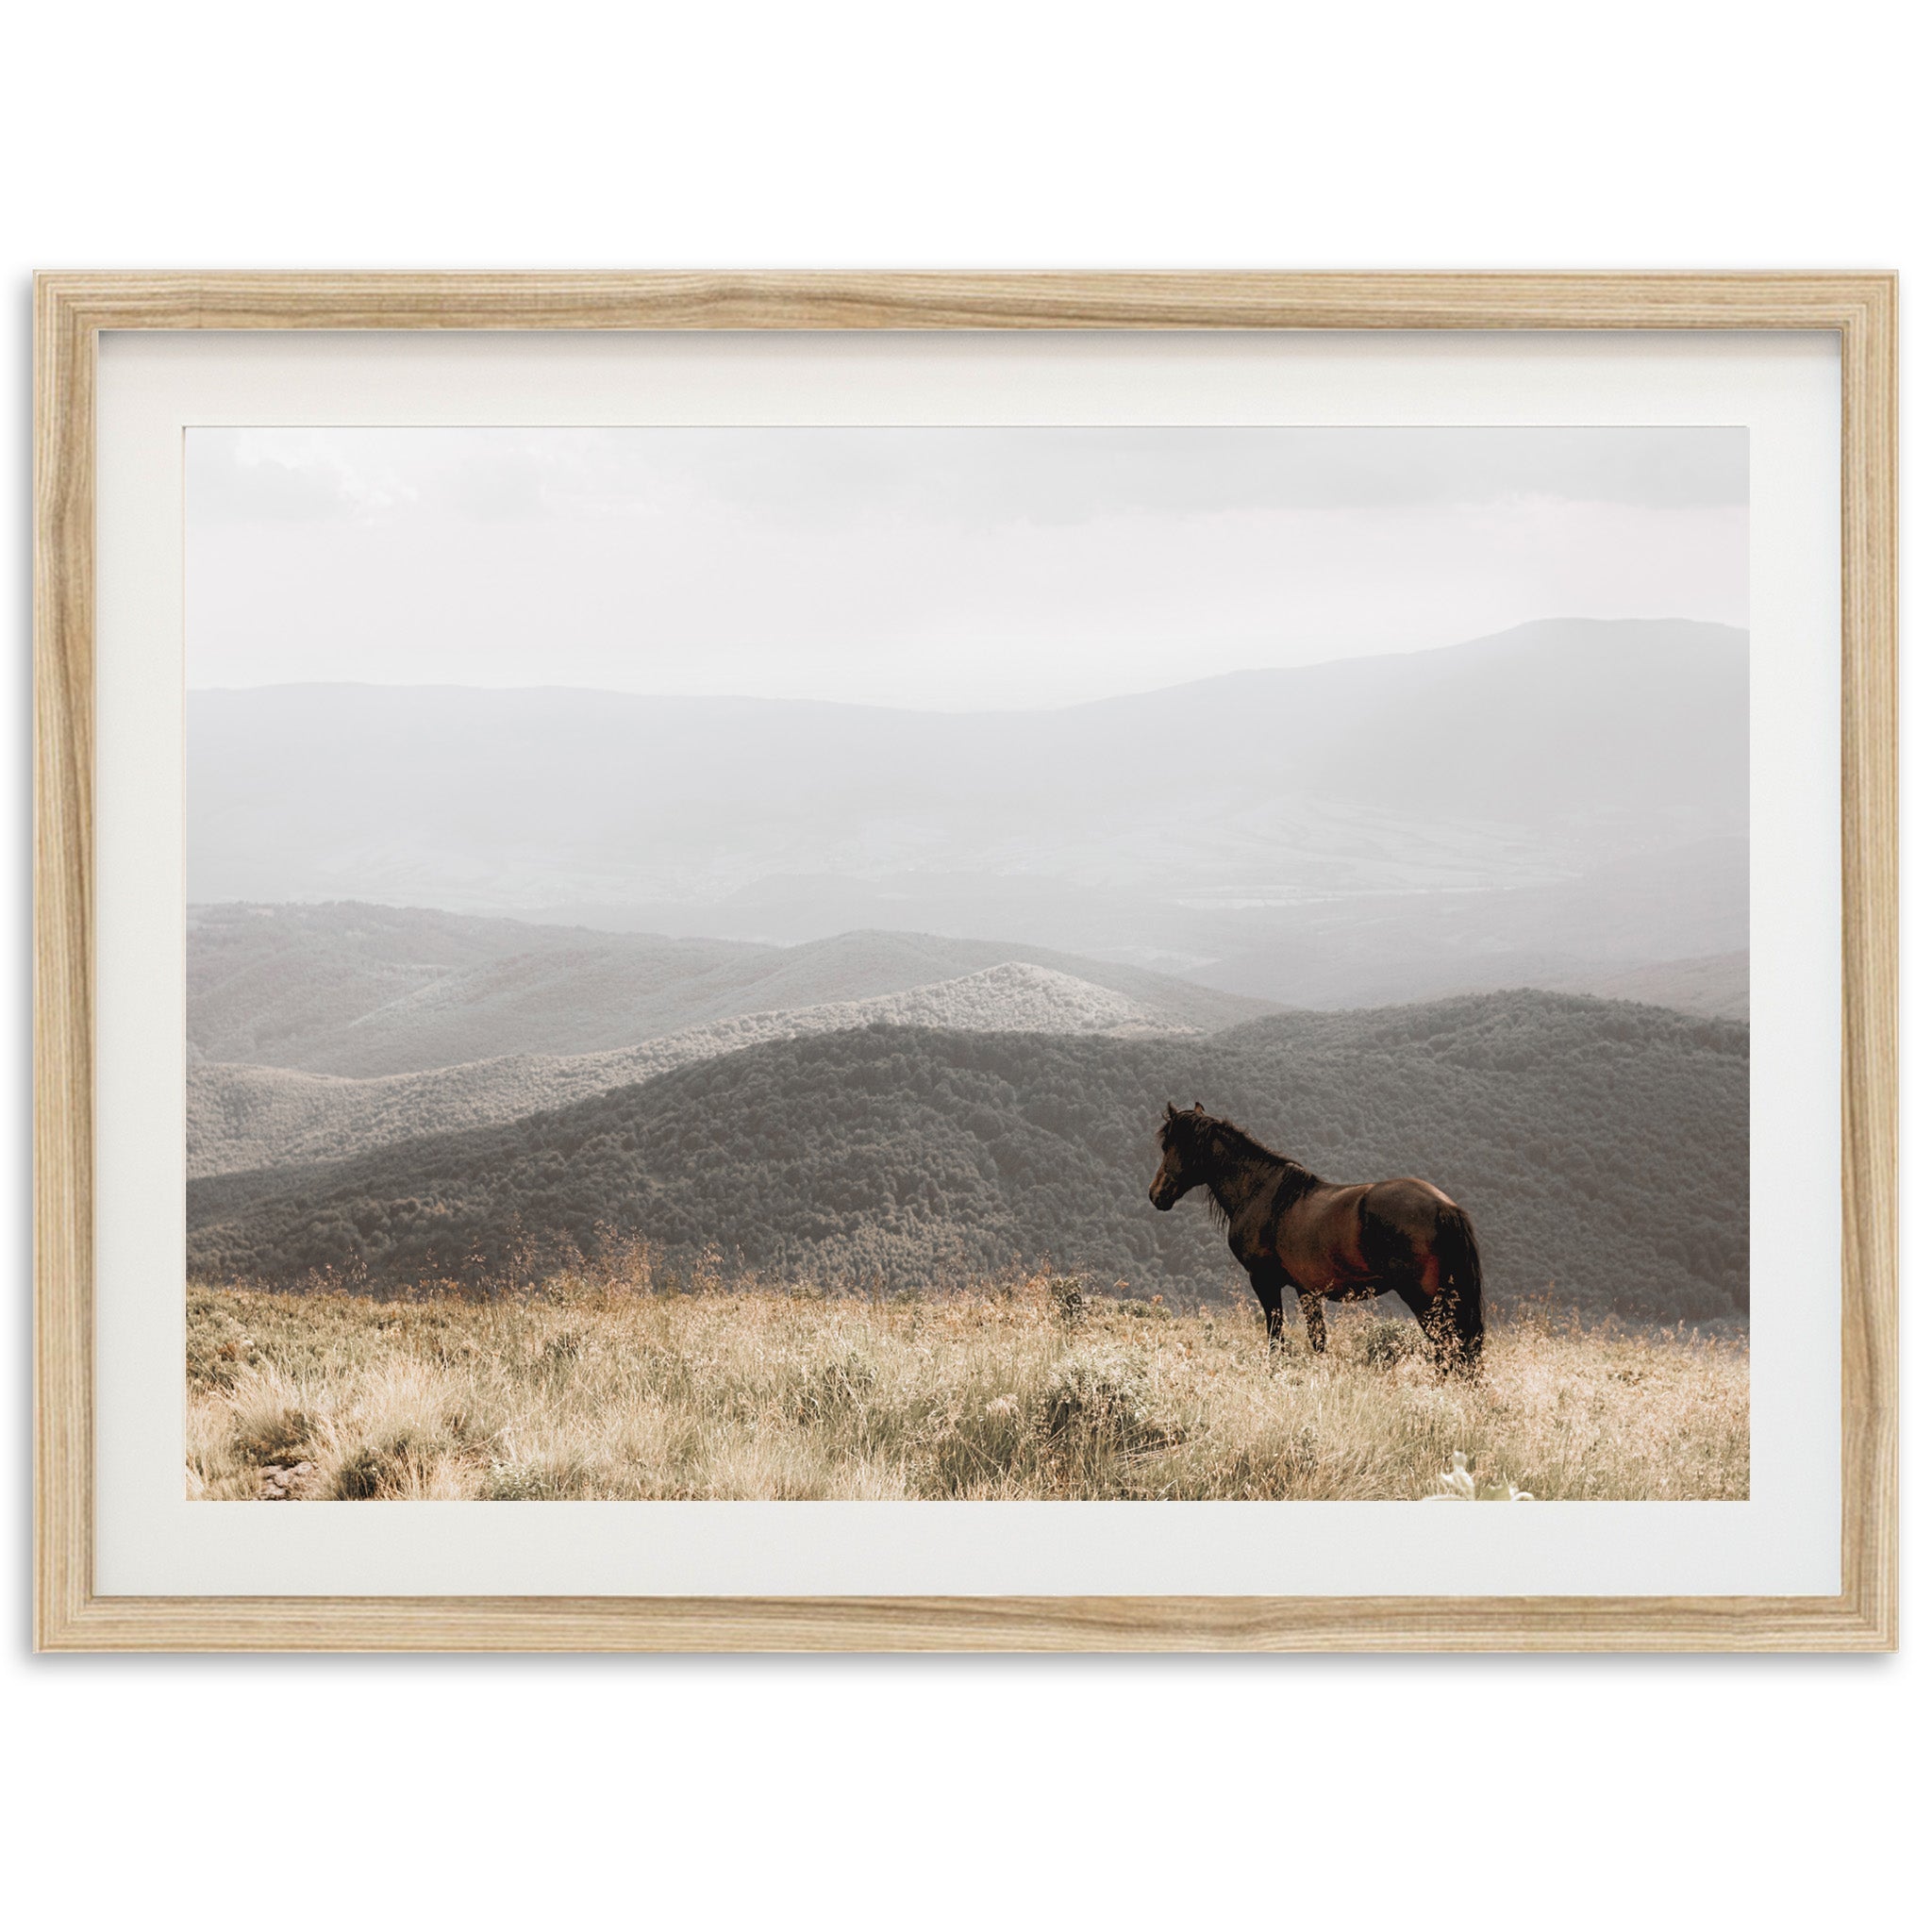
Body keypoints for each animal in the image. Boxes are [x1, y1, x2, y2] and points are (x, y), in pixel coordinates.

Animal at [1143, 1105, 1475, 1375]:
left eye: (1168, 1145)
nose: (1155, 1194)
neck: (1261, 1193)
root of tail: (1444, 1206)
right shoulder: (1308, 1291)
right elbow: (1318, 1340)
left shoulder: (1264, 1282)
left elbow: (1275, 1334)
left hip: (1425, 1299)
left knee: (1448, 1349)